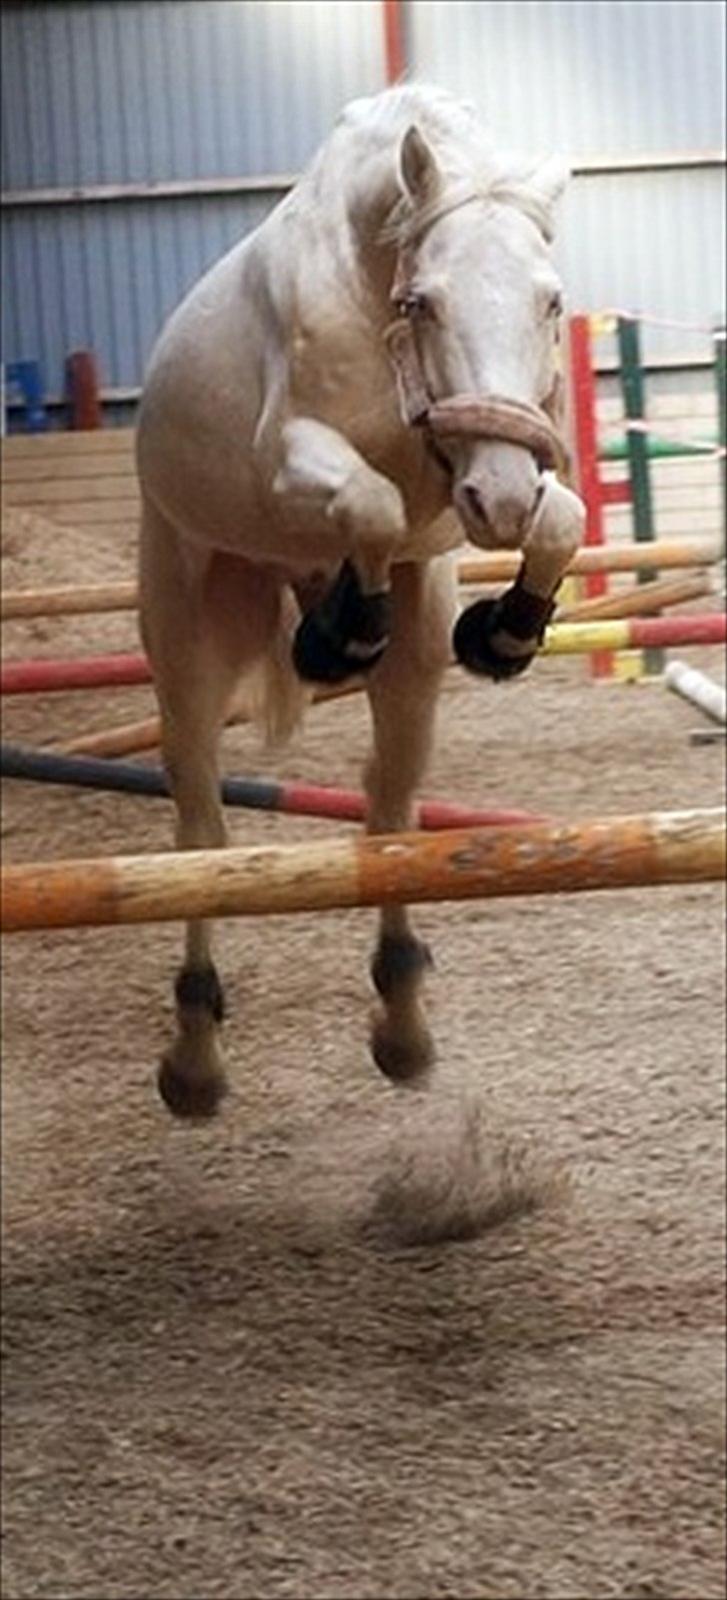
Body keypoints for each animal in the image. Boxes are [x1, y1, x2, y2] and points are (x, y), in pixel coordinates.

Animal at [136, 82, 585, 1118]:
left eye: (548, 302)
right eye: (425, 302)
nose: (498, 499)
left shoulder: (467, 491)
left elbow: (561, 517)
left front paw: (504, 632)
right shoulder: (297, 462)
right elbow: (370, 503)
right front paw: (340, 635)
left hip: (414, 658)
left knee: (387, 807)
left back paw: (403, 1026)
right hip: (185, 636)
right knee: (201, 831)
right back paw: (194, 1059)